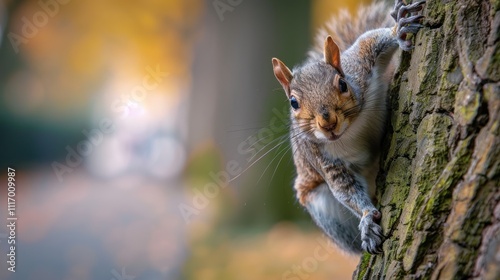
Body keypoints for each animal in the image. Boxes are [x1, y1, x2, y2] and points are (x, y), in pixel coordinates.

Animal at [272, 0, 424, 254]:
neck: (350, 131)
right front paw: (367, 218)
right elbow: (345, 189)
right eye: (293, 103)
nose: (328, 123)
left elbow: (369, 41)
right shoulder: (322, 159)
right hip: (323, 208)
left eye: (343, 84)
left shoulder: (359, 66)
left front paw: (398, 28)